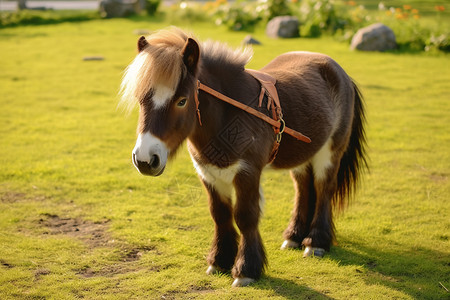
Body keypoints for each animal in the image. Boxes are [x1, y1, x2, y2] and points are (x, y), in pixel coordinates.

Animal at [120, 27, 370, 286]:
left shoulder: (247, 172)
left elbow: (245, 216)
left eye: (181, 101)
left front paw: (246, 270)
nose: (145, 159)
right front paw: (219, 261)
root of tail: (338, 71)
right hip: (303, 155)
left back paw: (316, 242)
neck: (227, 118)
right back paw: (294, 236)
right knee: (303, 188)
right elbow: (220, 215)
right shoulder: (209, 173)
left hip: (330, 151)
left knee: (323, 189)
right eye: (140, 99)